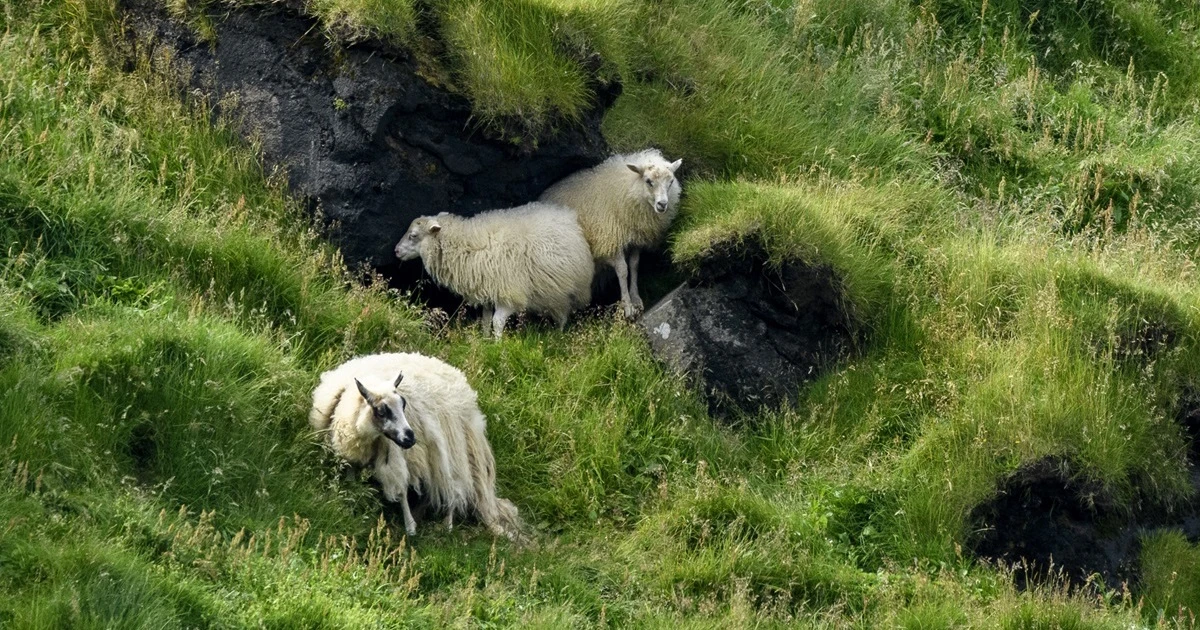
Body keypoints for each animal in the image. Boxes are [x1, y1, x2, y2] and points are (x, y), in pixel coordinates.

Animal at [309, 350, 520, 537]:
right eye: (381, 411)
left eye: (404, 405)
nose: (411, 438)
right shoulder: (352, 451)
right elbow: (351, 477)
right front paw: (350, 502)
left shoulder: (397, 455)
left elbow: (401, 491)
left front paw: (410, 527)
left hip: (455, 451)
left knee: (454, 487)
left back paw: (448, 524)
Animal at [393, 204, 595, 336]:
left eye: (413, 235)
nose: (396, 251)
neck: (467, 247)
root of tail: (567, 217)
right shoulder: (487, 293)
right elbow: (485, 321)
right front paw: (485, 341)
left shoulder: (509, 293)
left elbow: (497, 322)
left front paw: (498, 346)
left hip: (565, 290)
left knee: (562, 316)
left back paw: (558, 337)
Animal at [540, 148, 681, 319]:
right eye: (648, 181)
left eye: (671, 182)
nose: (662, 205)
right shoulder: (611, 240)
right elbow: (622, 270)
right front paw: (627, 306)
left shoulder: (635, 240)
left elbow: (634, 265)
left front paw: (636, 299)